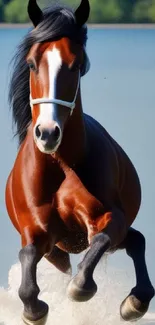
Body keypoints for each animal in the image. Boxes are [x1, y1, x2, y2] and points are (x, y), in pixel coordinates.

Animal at [4, 0, 154, 324]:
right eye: (32, 63)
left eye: (76, 65)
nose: (48, 133)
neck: (61, 164)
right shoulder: (38, 233)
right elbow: (27, 258)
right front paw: (34, 310)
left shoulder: (107, 218)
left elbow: (98, 244)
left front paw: (79, 288)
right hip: (59, 251)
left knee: (135, 241)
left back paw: (135, 301)